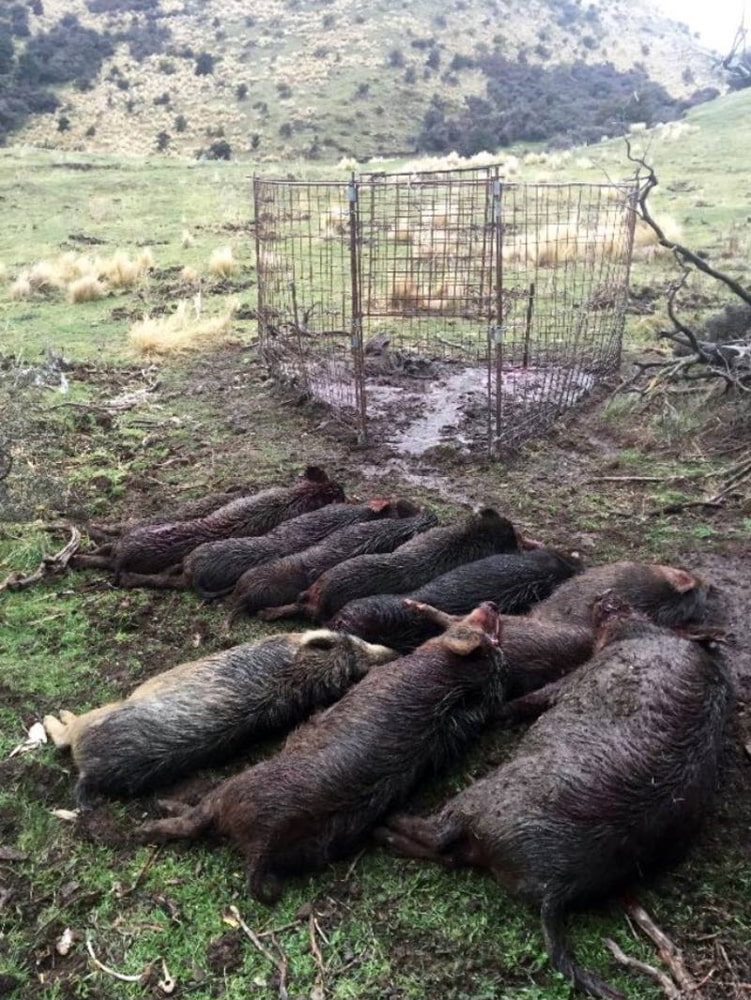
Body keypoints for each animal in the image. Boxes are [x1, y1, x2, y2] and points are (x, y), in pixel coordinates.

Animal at [43, 629, 394, 808]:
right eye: (358, 642)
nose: (391, 652)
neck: (302, 673)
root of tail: (90, 773)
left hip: (99, 716)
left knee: (64, 735)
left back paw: (56, 714)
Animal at [134, 604, 509, 903]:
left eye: (482, 634)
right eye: (491, 639)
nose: (491, 605)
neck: (453, 681)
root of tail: (263, 844)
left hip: (232, 789)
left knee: (192, 819)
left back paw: (150, 821)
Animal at [377, 599, 732, 1000]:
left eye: (639, 615)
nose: (608, 598)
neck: (645, 634)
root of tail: (555, 888)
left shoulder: (578, 675)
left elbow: (531, 699)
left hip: (483, 798)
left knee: (440, 835)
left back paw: (384, 824)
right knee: (449, 854)